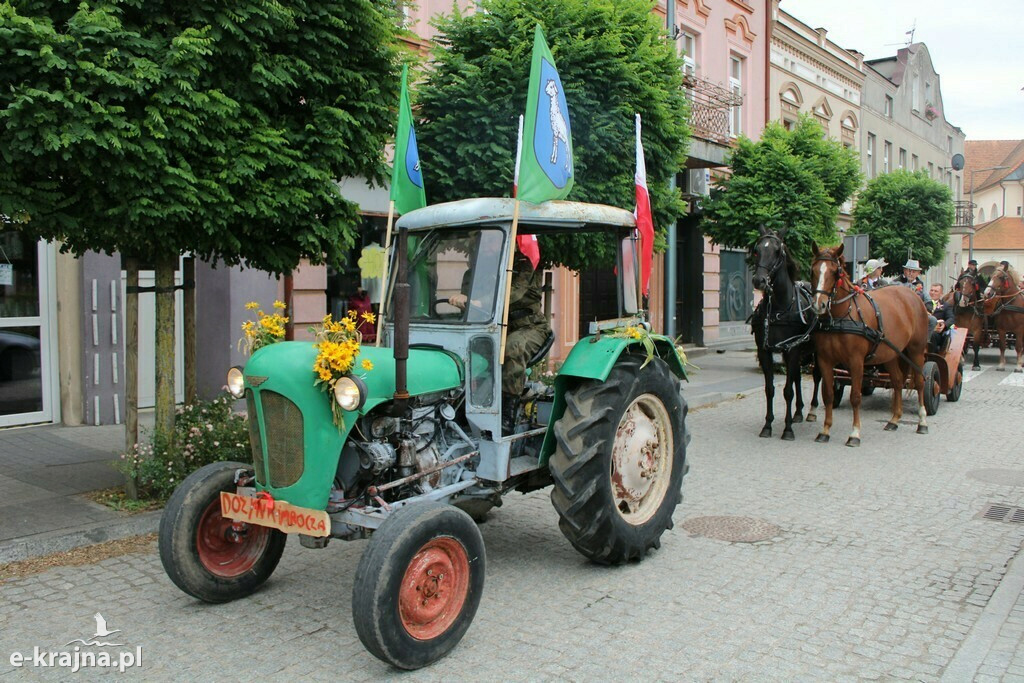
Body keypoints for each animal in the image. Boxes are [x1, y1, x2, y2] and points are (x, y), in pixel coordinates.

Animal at [749, 225, 819, 438]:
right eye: (757, 250)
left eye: (778, 251)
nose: (759, 280)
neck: (779, 308)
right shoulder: (765, 351)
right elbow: (770, 389)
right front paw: (767, 425)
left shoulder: (792, 349)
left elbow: (787, 391)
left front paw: (787, 429)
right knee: (797, 376)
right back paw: (798, 413)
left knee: (817, 376)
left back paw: (812, 410)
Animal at [811, 245, 933, 448]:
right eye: (813, 270)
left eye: (835, 272)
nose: (819, 305)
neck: (842, 316)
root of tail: (912, 295)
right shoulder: (825, 360)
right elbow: (828, 394)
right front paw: (825, 430)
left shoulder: (856, 362)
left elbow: (855, 397)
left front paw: (854, 433)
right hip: (891, 353)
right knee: (898, 381)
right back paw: (894, 420)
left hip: (916, 350)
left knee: (920, 381)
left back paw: (922, 422)